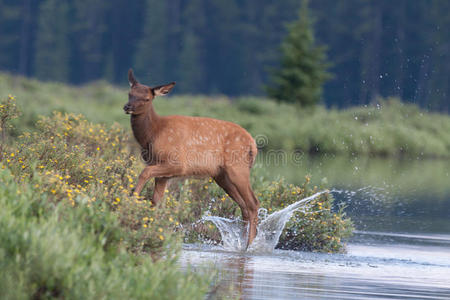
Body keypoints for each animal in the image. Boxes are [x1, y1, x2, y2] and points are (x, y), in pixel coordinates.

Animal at [124, 68, 260, 248]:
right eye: (129, 93)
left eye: (147, 98)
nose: (128, 107)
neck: (153, 134)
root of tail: (253, 144)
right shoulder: (163, 174)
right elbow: (156, 202)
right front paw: (151, 227)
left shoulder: (178, 163)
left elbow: (144, 172)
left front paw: (132, 198)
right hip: (222, 176)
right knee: (243, 206)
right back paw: (241, 243)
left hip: (237, 168)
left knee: (253, 203)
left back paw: (249, 246)